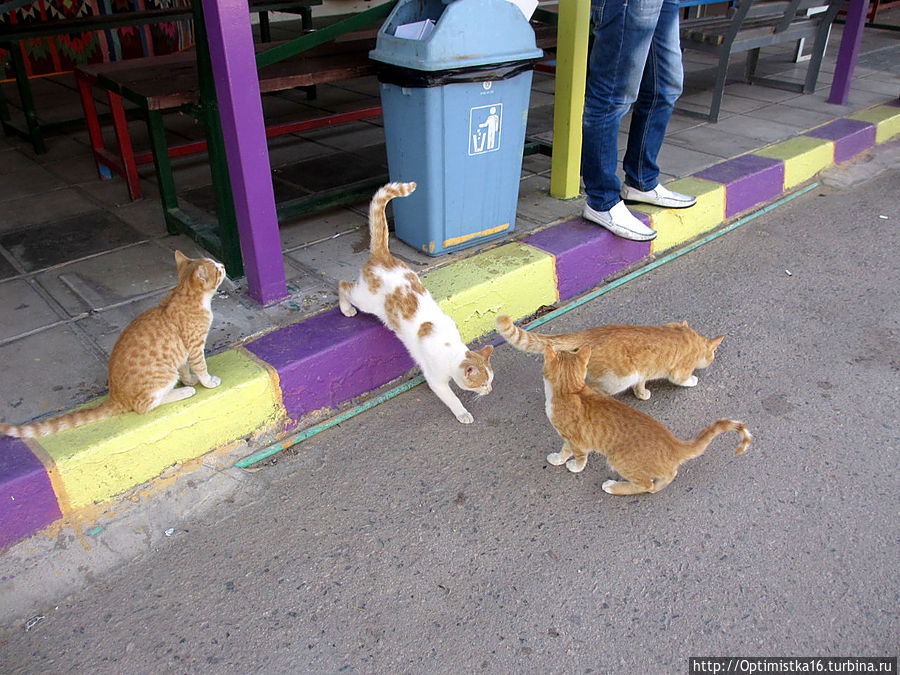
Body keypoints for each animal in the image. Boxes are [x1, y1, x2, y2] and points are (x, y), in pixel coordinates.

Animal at [0, 252, 225, 438]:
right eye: (216, 269)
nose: (222, 264)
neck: (183, 294)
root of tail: (116, 397)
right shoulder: (194, 347)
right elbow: (200, 366)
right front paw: (206, 382)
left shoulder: (182, 352)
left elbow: (185, 368)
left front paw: (190, 380)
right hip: (164, 377)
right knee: (143, 406)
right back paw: (181, 393)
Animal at [340, 180, 496, 422]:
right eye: (482, 383)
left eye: (491, 380)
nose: (490, 390)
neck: (451, 350)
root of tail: (383, 256)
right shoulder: (436, 379)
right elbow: (452, 398)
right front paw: (463, 413)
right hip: (365, 299)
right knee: (343, 286)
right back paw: (346, 308)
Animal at [496, 316, 720, 402]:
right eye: (712, 356)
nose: (712, 360)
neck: (687, 335)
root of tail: (593, 332)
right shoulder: (679, 372)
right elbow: (683, 380)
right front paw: (693, 380)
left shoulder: (641, 373)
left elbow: (640, 385)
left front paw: (642, 394)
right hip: (619, 379)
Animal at [540, 346, 752, 494]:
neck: (571, 390)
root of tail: (674, 444)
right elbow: (566, 449)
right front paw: (559, 459)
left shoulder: (575, 440)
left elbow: (575, 454)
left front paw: (570, 464)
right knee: (667, 476)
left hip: (618, 459)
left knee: (646, 485)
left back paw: (613, 487)